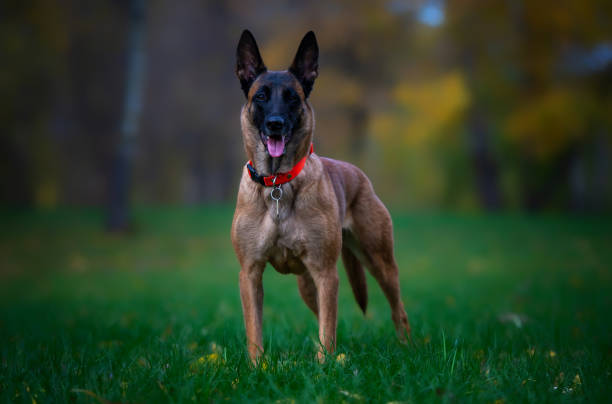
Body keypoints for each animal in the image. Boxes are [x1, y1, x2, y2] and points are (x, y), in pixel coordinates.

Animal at [230, 29, 412, 362]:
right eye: (261, 96)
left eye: (293, 97)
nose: (275, 124)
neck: (278, 183)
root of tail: (358, 174)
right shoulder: (250, 273)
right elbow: (254, 330)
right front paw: (257, 366)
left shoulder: (326, 273)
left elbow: (329, 327)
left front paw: (326, 365)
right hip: (306, 284)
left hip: (379, 262)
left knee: (397, 309)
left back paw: (407, 347)